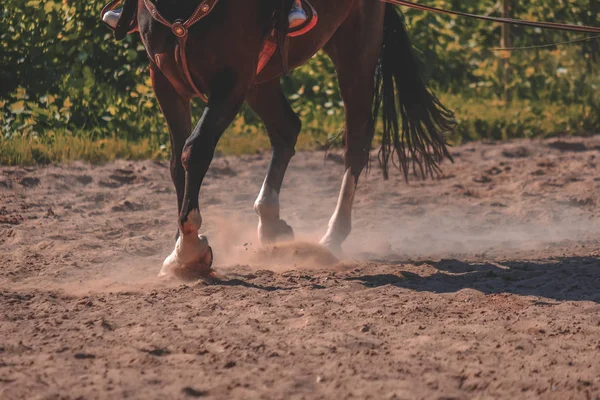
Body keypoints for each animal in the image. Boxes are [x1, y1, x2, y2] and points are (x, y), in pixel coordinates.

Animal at [120, 0, 454, 278]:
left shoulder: (232, 80)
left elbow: (196, 149)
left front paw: (188, 250)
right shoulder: (164, 80)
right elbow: (177, 164)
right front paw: (179, 250)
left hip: (355, 50)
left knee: (356, 141)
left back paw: (331, 237)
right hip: (261, 79)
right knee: (287, 128)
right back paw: (270, 220)